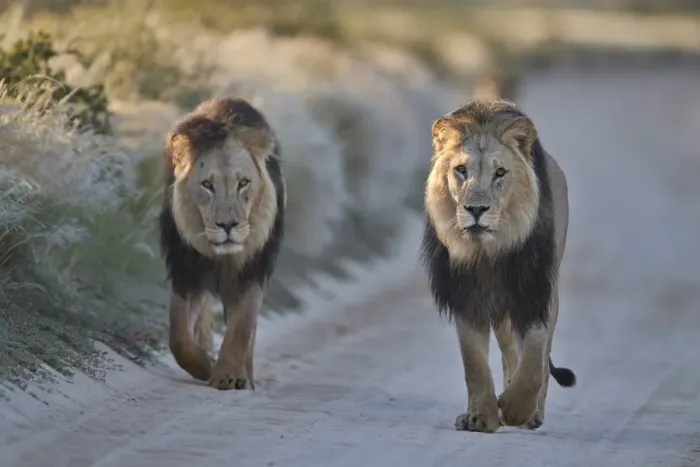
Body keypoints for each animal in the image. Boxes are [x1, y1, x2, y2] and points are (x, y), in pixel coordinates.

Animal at [159, 97, 285, 391]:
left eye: (243, 183)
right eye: (207, 185)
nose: (228, 226)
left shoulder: (252, 271)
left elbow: (242, 327)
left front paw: (230, 375)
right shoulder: (187, 271)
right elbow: (178, 336)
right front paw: (205, 364)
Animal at [420, 99, 576, 433]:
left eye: (500, 172)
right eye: (461, 170)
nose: (476, 209)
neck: (488, 252)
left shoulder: (536, 290)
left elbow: (535, 358)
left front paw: (517, 409)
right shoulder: (465, 295)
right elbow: (474, 364)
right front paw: (481, 416)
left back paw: (531, 414)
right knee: (508, 351)